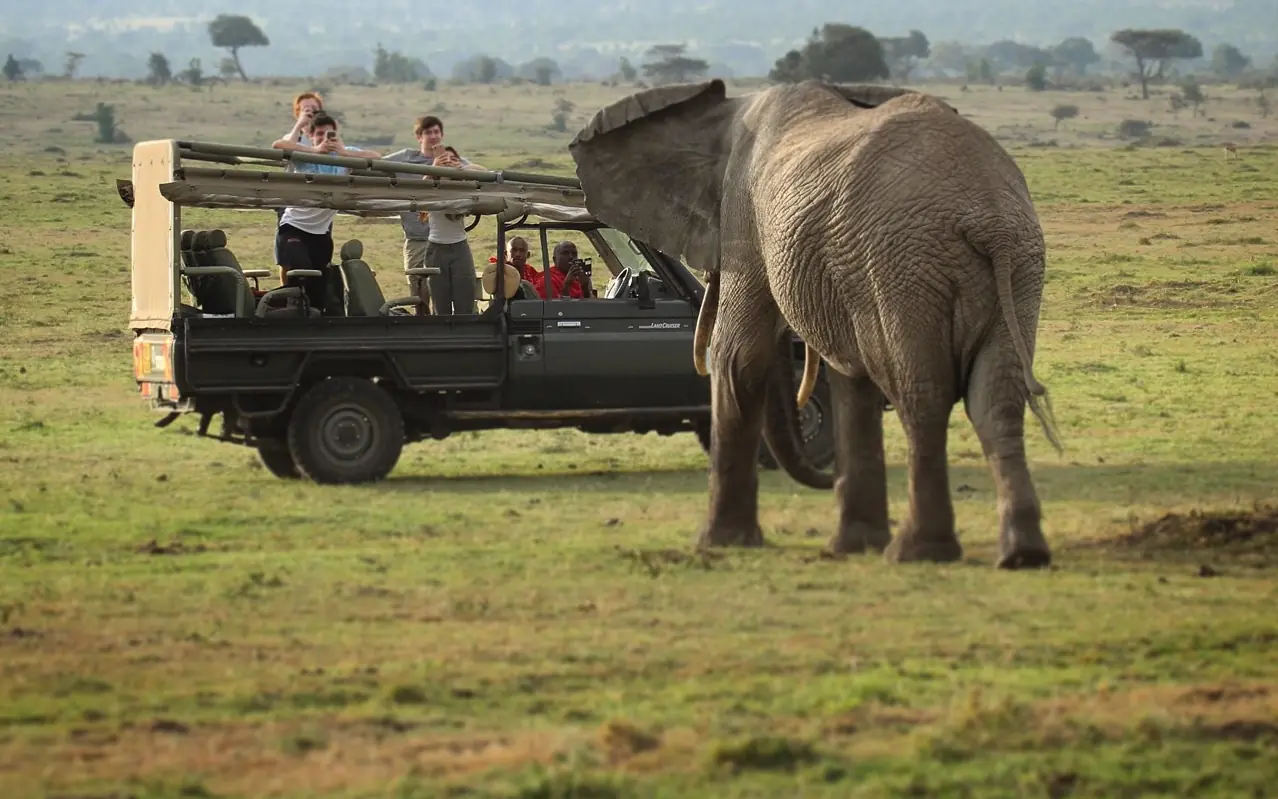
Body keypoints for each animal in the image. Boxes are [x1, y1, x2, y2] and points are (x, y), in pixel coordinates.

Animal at [568, 78, 1062, 569]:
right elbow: (850, 379)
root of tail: (989, 216)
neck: (728, 111)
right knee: (995, 397)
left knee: (922, 392)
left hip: (906, 265)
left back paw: (917, 552)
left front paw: (719, 543)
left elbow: (737, 355)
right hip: (1015, 266)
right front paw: (851, 546)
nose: (825, 475)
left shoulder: (746, 218)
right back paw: (1021, 554)